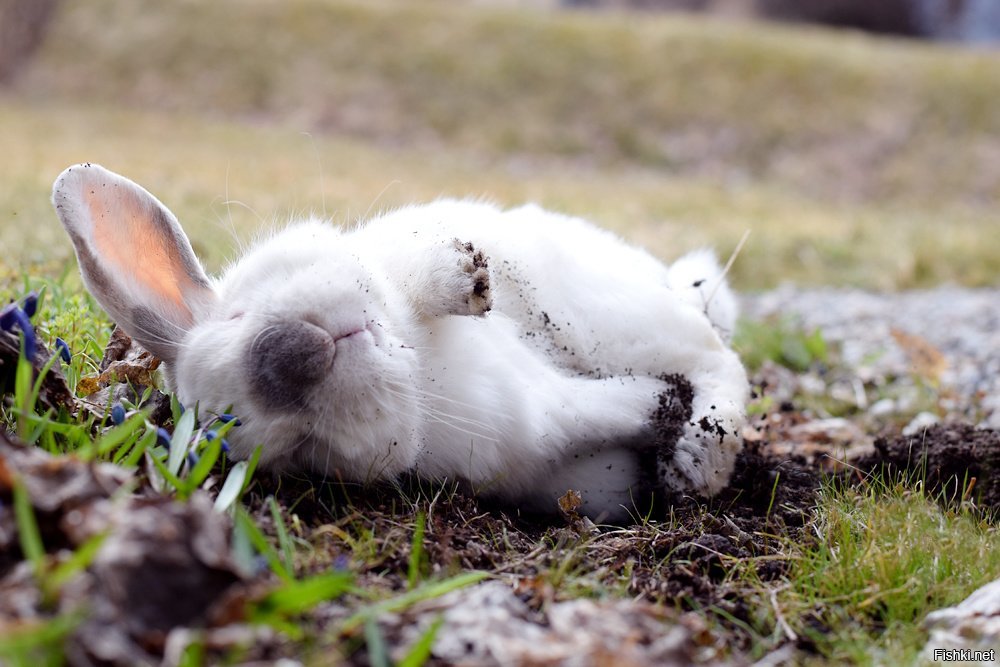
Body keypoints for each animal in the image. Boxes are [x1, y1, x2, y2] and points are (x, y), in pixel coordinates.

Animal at [50, 162, 748, 520]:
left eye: (236, 314)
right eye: (295, 446)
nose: (293, 354)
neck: (420, 368)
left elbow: (426, 276)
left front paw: (469, 278)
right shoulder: (540, 419)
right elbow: (615, 408)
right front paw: (656, 414)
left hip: (616, 315)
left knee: (717, 360)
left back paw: (699, 458)